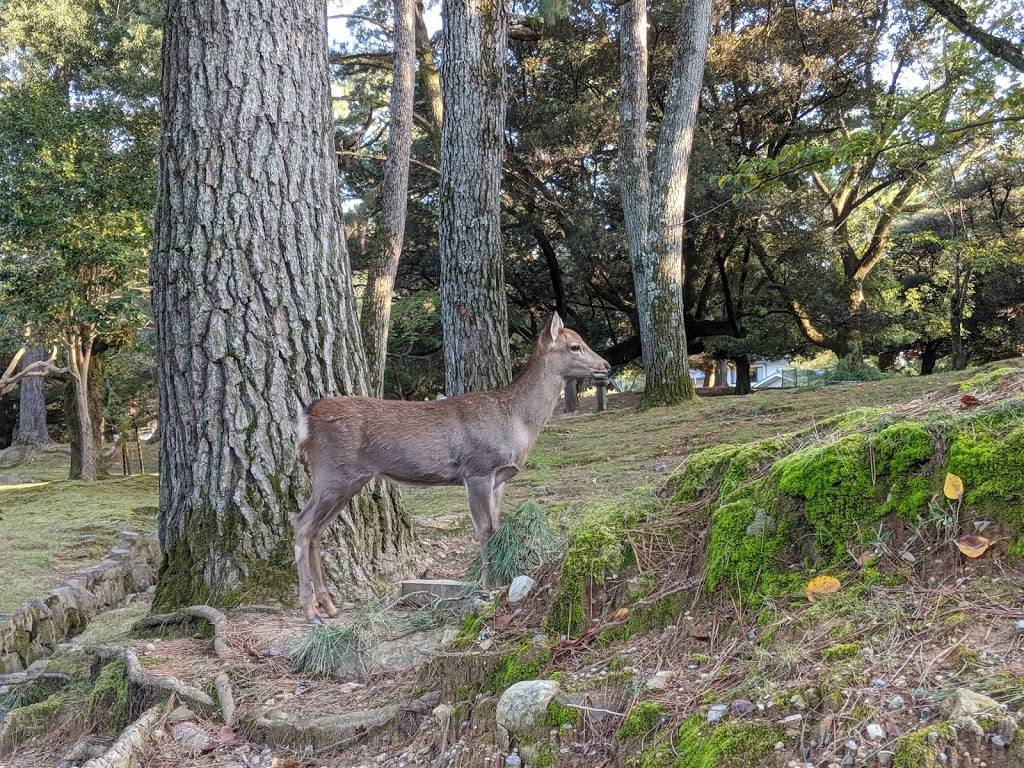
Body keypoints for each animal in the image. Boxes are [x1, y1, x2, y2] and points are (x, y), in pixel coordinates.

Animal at [294, 312, 611, 622]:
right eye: (575, 346)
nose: (606, 366)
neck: (517, 423)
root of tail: (306, 420)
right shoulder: (478, 470)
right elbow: (484, 531)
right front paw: (487, 586)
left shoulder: (499, 478)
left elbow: (496, 527)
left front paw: (499, 582)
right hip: (332, 473)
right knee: (302, 524)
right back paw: (310, 611)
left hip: (347, 481)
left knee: (316, 529)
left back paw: (329, 606)